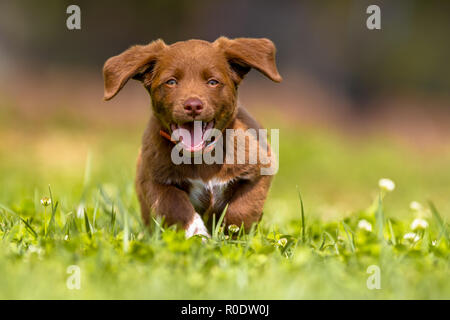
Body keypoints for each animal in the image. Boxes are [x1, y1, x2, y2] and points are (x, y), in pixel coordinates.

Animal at [103, 37, 284, 238]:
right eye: (171, 82)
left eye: (212, 82)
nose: (193, 106)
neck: (201, 157)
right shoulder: (153, 180)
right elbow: (176, 206)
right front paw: (198, 236)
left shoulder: (259, 170)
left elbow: (242, 209)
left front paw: (231, 235)